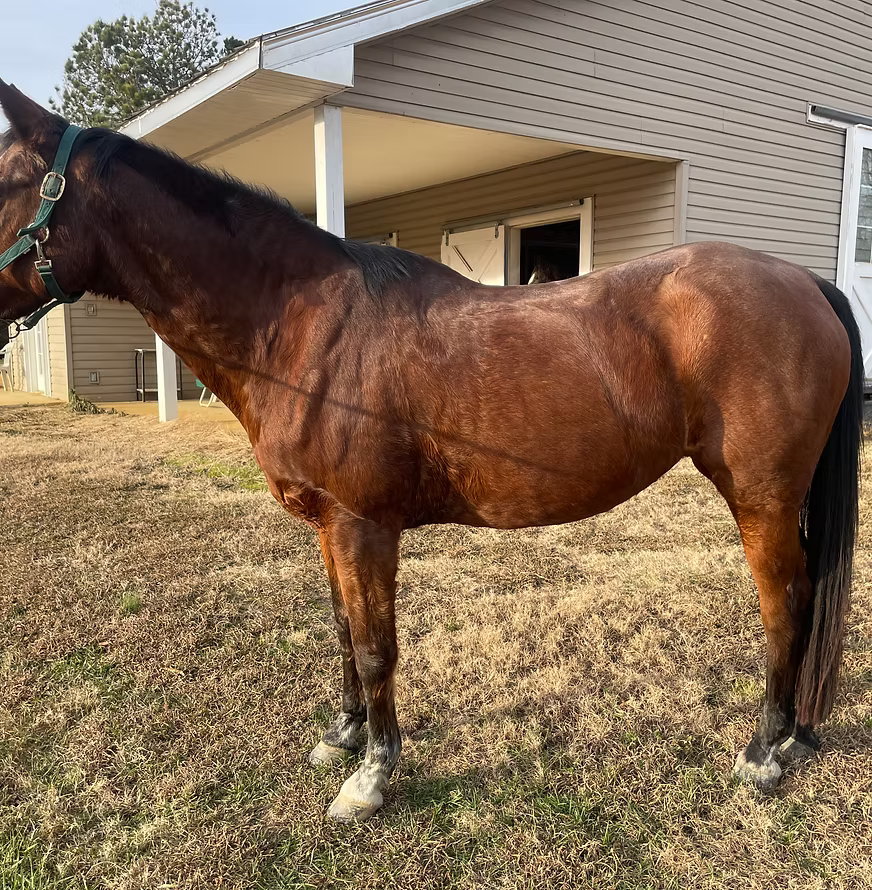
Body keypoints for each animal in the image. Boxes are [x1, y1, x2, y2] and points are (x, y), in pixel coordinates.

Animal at [0, 82, 862, 822]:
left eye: (7, 179)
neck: (305, 324)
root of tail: (804, 281)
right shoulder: (329, 528)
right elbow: (343, 631)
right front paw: (342, 735)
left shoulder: (364, 526)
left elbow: (377, 646)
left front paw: (371, 777)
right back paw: (798, 735)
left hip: (759, 496)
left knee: (786, 603)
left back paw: (764, 751)